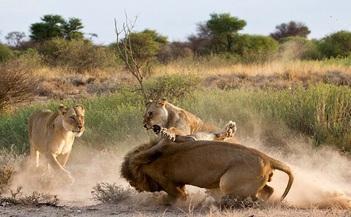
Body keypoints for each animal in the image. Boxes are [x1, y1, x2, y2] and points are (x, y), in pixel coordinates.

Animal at [121, 139, 294, 203]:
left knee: (251, 197)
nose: (133, 186)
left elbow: (179, 196)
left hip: (227, 182)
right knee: (269, 190)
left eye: (131, 180)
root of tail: (267, 158)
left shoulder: (167, 182)